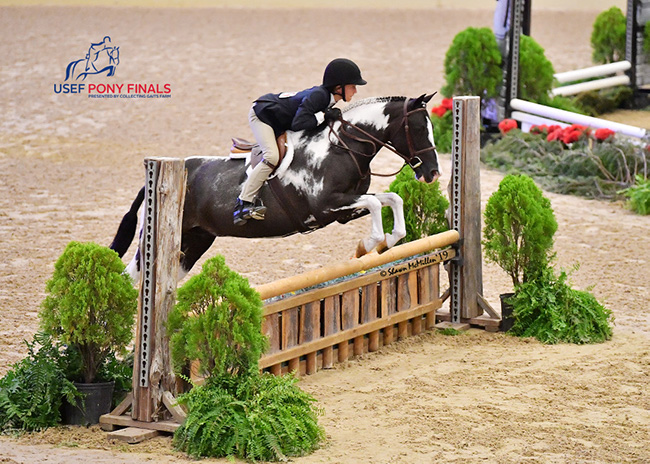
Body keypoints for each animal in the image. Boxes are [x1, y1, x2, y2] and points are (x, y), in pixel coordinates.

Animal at [110, 94, 440, 280]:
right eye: (418, 129)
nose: (433, 173)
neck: (341, 147)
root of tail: (153, 180)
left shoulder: (345, 207)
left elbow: (391, 199)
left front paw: (386, 242)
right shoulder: (327, 206)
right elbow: (374, 204)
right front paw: (367, 246)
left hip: (195, 240)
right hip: (163, 238)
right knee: (131, 279)